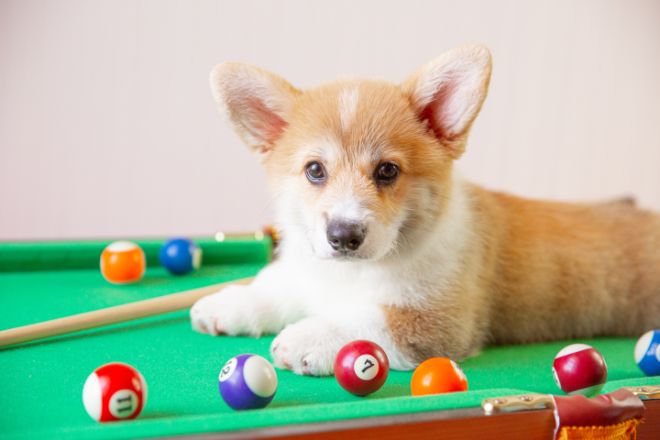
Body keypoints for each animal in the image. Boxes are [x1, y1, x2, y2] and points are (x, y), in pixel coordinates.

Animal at [189, 43, 660, 374]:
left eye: (387, 170)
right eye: (315, 170)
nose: (343, 236)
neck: (353, 273)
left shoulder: (436, 320)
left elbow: (362, 321)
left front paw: (306, 339)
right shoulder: (311, 273)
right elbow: (280, 286)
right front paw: (228, 305)